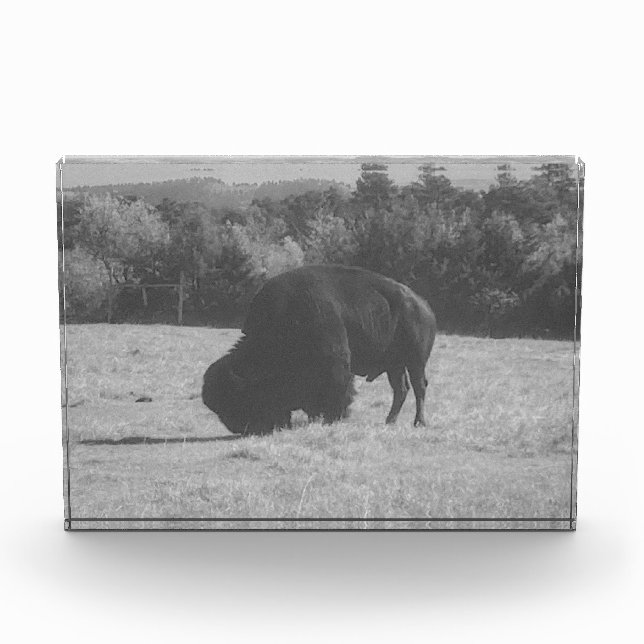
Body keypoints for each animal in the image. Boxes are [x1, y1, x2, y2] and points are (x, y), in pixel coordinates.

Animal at [202, 265, 437, 435]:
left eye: (240, 397)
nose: (238, 428)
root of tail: (424, 306)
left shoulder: (336, 364)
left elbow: (336, 391)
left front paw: (333, 418)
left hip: (415, 361)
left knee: (419, 387)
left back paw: (419, 422)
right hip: (394, 365)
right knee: (401, 389)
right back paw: (389, 421)